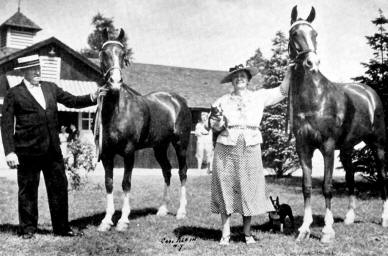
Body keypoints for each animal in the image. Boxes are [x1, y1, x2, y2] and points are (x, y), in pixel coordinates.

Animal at [94, 28, 191, 232]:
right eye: (104, 53)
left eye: (123, 55)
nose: (115, 82)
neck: (117, 112)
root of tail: (177, 100)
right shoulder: (106, 154)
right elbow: (109, 183)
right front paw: (106, 220)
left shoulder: (129, 152)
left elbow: (126, 183)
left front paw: (123, 220)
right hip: (159, 147)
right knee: (167, 171)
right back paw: (162, 209)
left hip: (180, 145)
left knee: (182, 172)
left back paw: (181, 211)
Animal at [286, 5, 388, 242]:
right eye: (294, 33)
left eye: (315, 34)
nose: (312, 63)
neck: (315, 99)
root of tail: (369, 93)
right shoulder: (303, 148)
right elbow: (306, 187)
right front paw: (304, 229)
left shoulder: (327, 146)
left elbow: (327, 186)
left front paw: (327, 230)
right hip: (347, 150)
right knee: (350, 177)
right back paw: (350, 218)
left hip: (378, 145)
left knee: (382, 176)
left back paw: (384, 219)